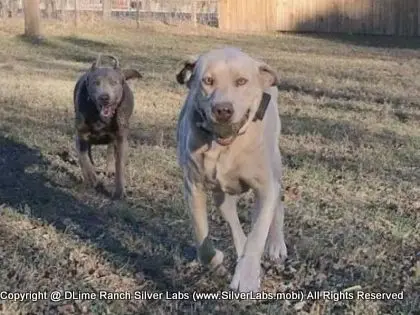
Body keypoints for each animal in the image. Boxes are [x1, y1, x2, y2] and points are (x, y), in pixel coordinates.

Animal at [73, 53, 143, 199]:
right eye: (96, 82)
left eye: (114, 83)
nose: (104, 97)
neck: (101, 118)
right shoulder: (81, 136)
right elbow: (84, 159)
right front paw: (92, 179)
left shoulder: (121, 139)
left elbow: (120, 164)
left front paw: (119, 191)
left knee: (110, 149)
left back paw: (109, 170)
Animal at [176, 47, 288, 294]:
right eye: (208, 80)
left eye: (241, 81)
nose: (223, 110)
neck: (225, 147)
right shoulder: (193, 187)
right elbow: (201, 233)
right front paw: (216, 260)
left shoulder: (265, 188)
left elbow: (258, 234)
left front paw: (246, 278)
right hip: (222, 197)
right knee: (234, 224)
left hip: (275, 167)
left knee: (277, 205)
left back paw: (276, 245)